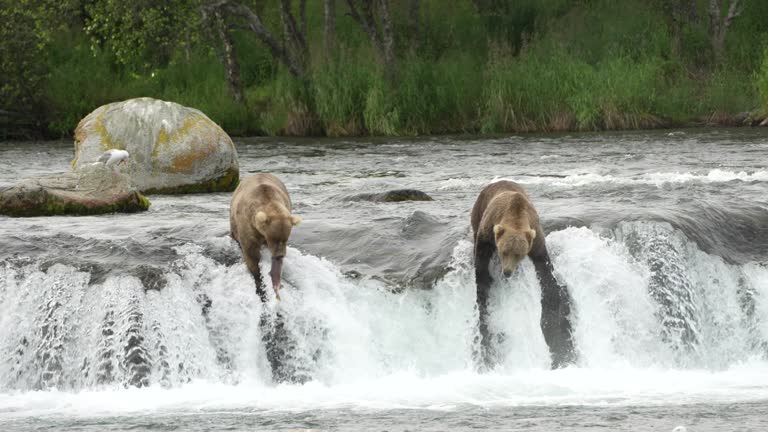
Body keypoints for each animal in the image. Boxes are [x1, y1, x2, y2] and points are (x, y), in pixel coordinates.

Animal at [228, 172, 300, 300]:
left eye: (285, 239)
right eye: (274, 239)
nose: (280, 255)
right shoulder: (247, 226)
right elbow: (251, 254)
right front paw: (258, 278)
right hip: (233, 221)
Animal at [468, 179, 576, 368]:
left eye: (518, 254)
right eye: (504, 252)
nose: (507, 272)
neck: (515, 214)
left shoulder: (535, 236)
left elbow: (544, 265)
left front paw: (552, 297)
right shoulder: (489, 228)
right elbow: (481, 255)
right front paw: (483, 281)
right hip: (479, 207)